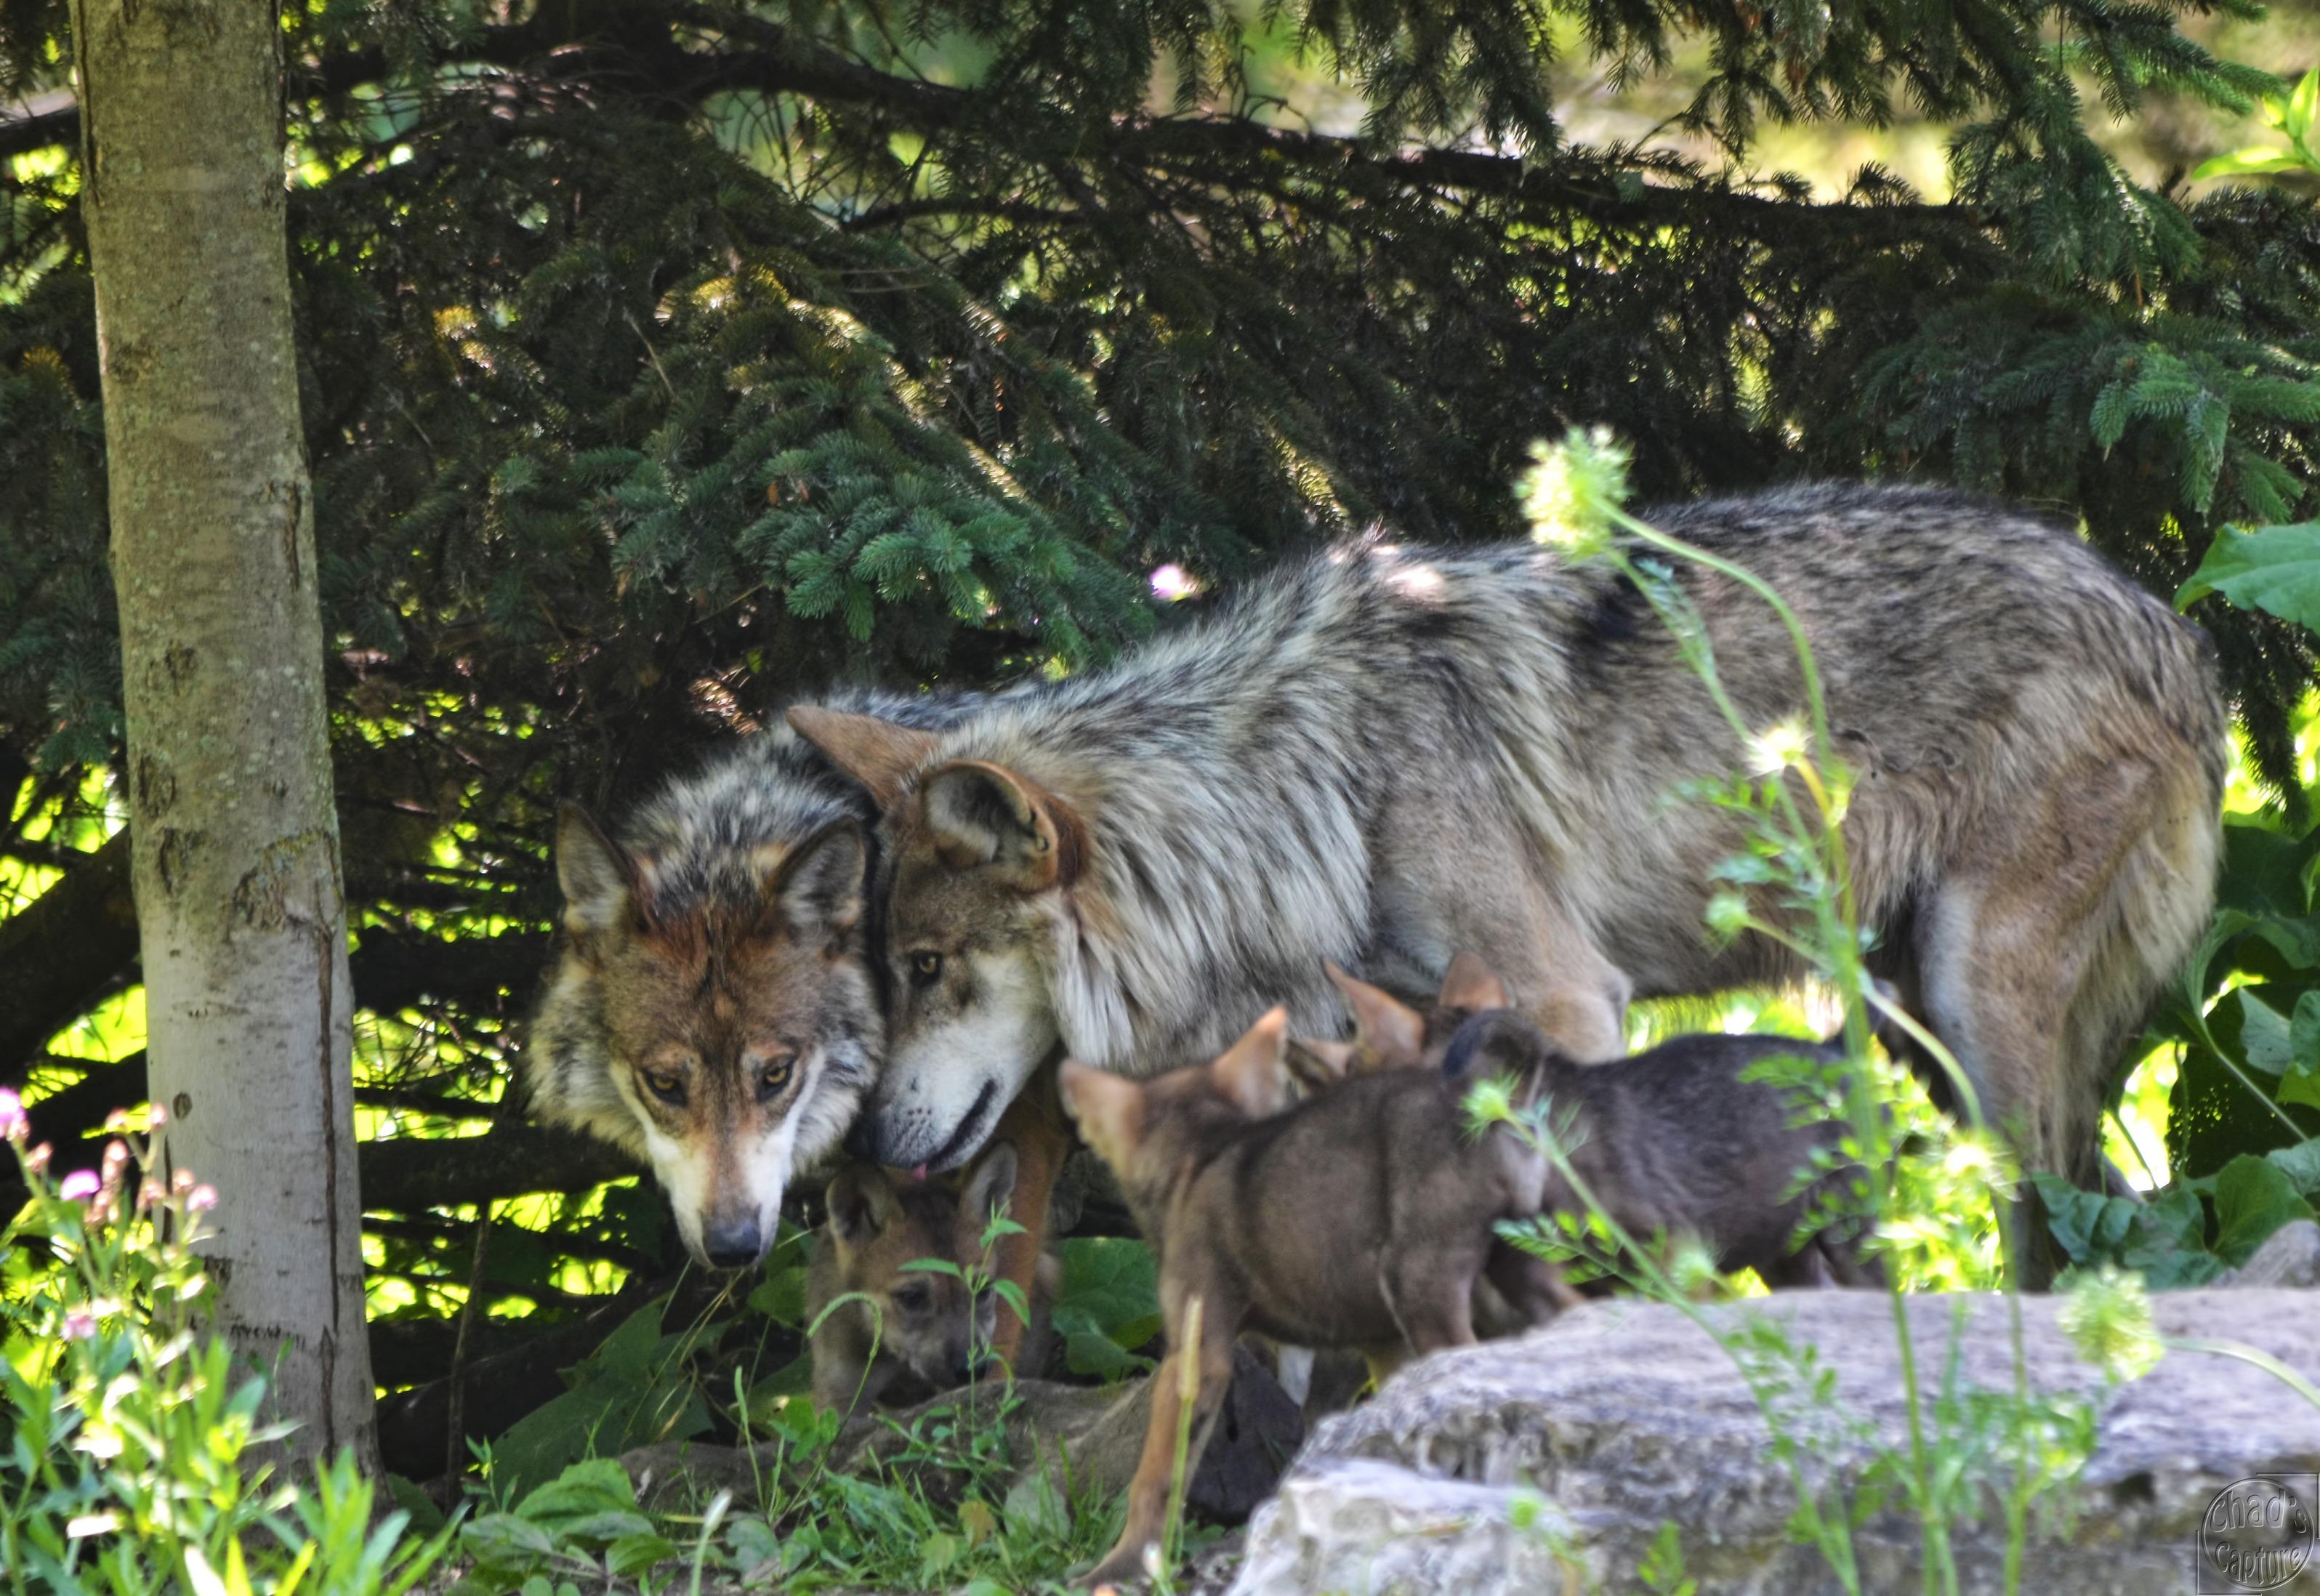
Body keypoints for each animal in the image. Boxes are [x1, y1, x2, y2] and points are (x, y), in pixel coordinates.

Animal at [798, 487, 2227, 1234]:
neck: (1304, 789)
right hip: (1901, 1013)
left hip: (1972, 1006)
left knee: (2045, 1198)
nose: (861, 1142)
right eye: (886, 963)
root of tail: (2174, 629)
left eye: (925, 967)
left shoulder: (1565, 1000)